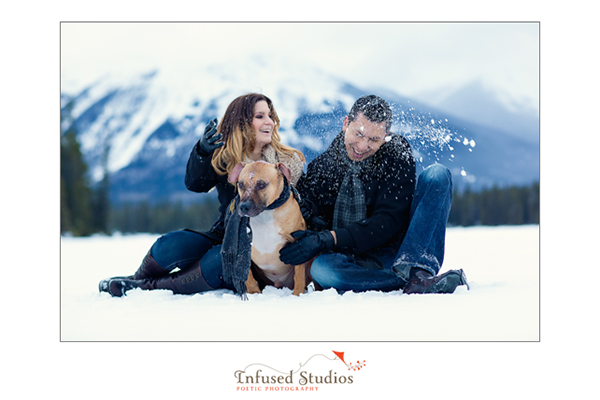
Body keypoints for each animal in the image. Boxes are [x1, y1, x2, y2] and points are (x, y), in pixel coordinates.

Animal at [229, 161, 312, 296]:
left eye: (261, 184)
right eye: (241, 184)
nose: (243, 207)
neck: (265, 213)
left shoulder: (298, 245)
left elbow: (299, 275)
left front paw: (297, 295)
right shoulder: (240, 246)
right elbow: (247, 276)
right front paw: (254, 293)